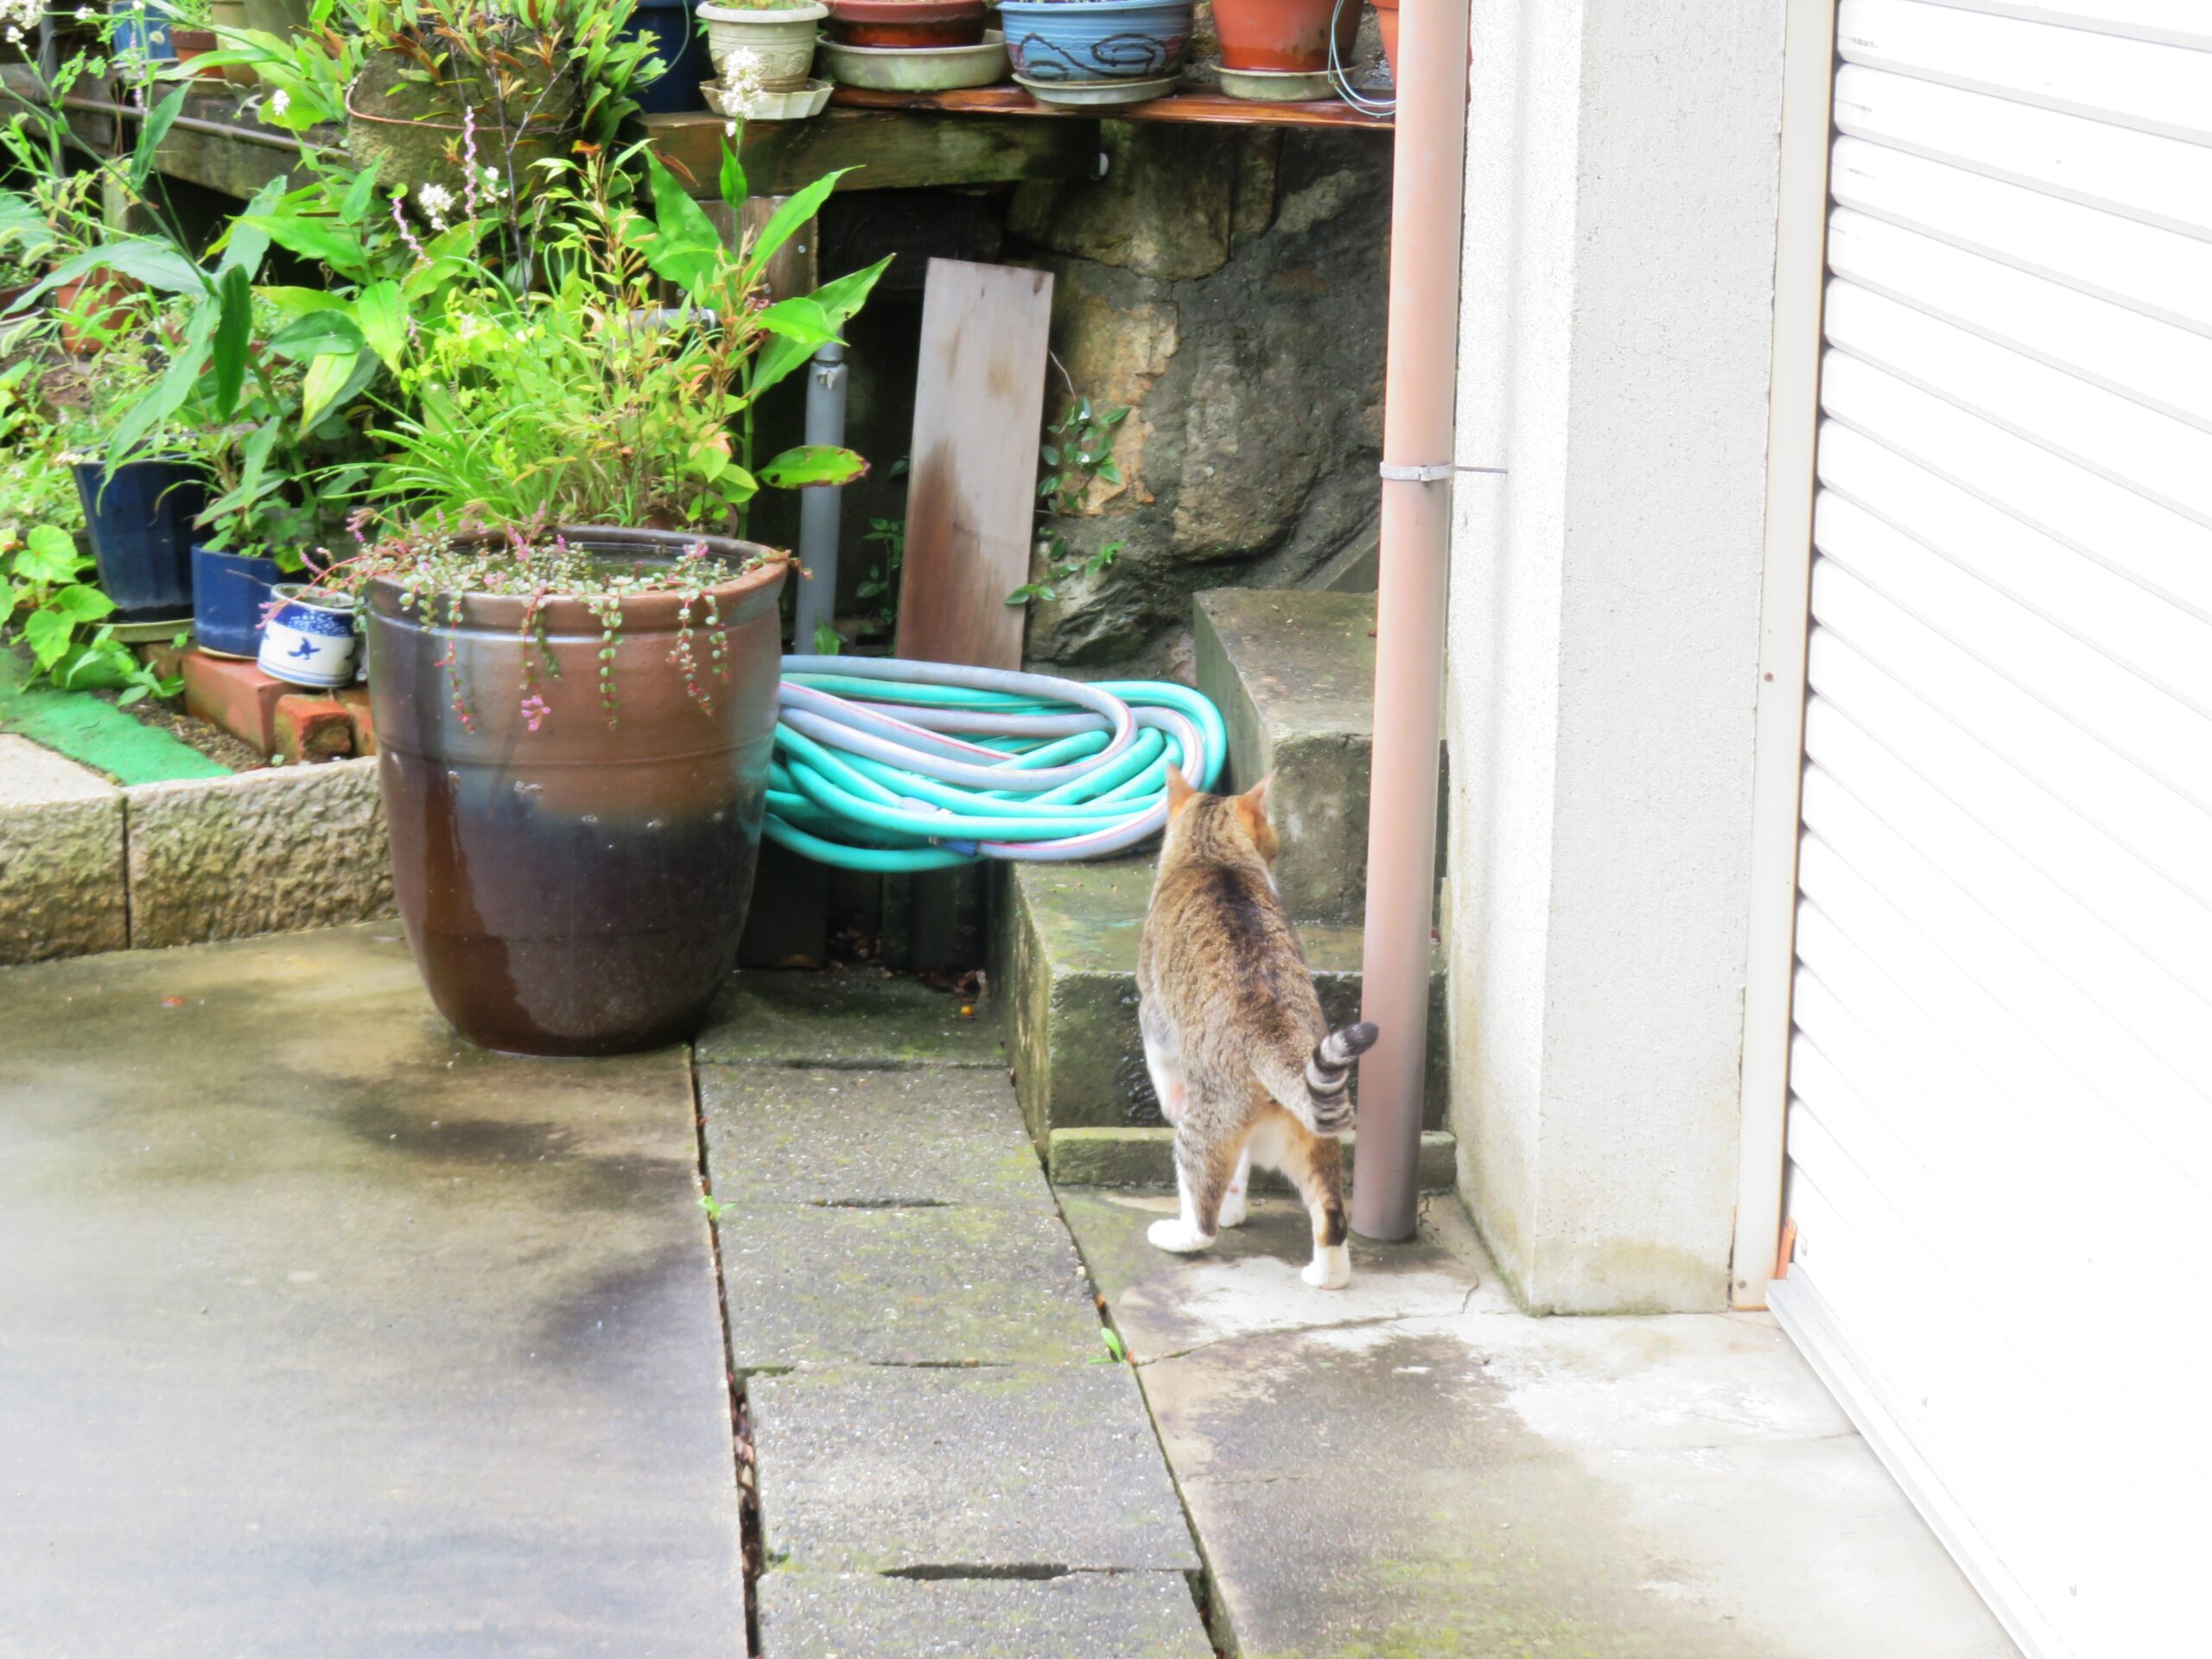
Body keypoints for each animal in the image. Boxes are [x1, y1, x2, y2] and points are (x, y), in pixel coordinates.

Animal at [1132, 774, 1371, 1292]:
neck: (1211, 854)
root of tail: (1274, 1037)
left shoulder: (1153, 1013)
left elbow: (1159, 1060)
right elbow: (1239, 1173)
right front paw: (1236, 1207)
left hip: (1203, 1124)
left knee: (1201, 1216)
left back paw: (1176, 1234)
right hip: (1314, 1135)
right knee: (1331, 1216)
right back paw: (1325, 1275)